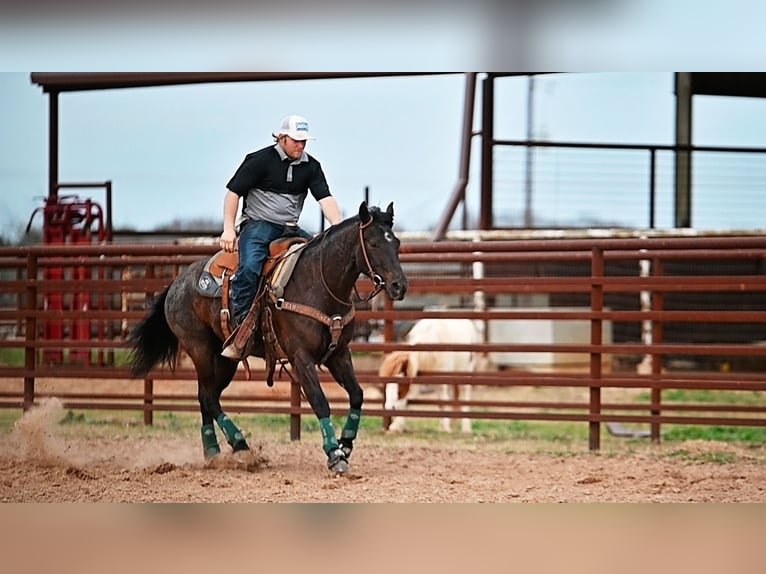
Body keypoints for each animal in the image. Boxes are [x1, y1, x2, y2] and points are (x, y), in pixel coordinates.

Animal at [128, 202, 408, 474]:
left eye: (396, 242)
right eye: (373, 243)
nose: (399, 286)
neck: (319, 284)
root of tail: (177, 283)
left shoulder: (338, 354)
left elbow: (357, 395)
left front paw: (346, 445)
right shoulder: (300, 357)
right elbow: (319, 401)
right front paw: (334, 454)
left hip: (226, 358)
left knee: (207, 396)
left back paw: (214, 453)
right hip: (200, 349)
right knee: (208, 397)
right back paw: (240, 446)